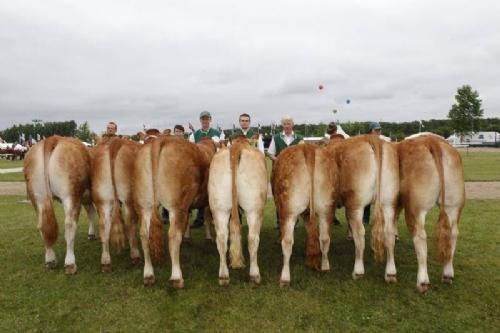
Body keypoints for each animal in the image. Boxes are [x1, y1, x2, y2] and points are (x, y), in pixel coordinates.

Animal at [23, 135, 96, 272]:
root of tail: (53, 138)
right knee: (70, 225)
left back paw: (50, 260)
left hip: (38, 196)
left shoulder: (86, 198)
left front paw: (92, 234)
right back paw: (70, 263)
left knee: (42, 226)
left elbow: (91, 212)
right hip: (70, 195)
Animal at [91, 136, 142, 272]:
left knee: (104, 226)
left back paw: (105, 262)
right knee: (130, 224)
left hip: (102, 199)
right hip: (128, 199)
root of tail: (115, 143)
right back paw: (135, 255)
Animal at [134, 135, 216, 286]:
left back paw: (148, 275)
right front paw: (208, 237)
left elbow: (188, 219)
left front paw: (187, 237)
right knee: (173, 235)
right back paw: (177, 277)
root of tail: (160, 140)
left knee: (143, 234)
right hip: (176, 205)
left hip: (144, 204)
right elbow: (207, 218)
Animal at [209, 136, 268, 284]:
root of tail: (237, 147)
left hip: (219, 208)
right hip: (254, 209)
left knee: (222, 238)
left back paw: (223, 276)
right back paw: (255, 274)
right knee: (253, 239)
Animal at [396, 134, 466, 292]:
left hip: (415, 207)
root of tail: (432, 140)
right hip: (454, 204)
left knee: (420, 236)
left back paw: (422, 282)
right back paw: (447, 274)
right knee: (453, 233)